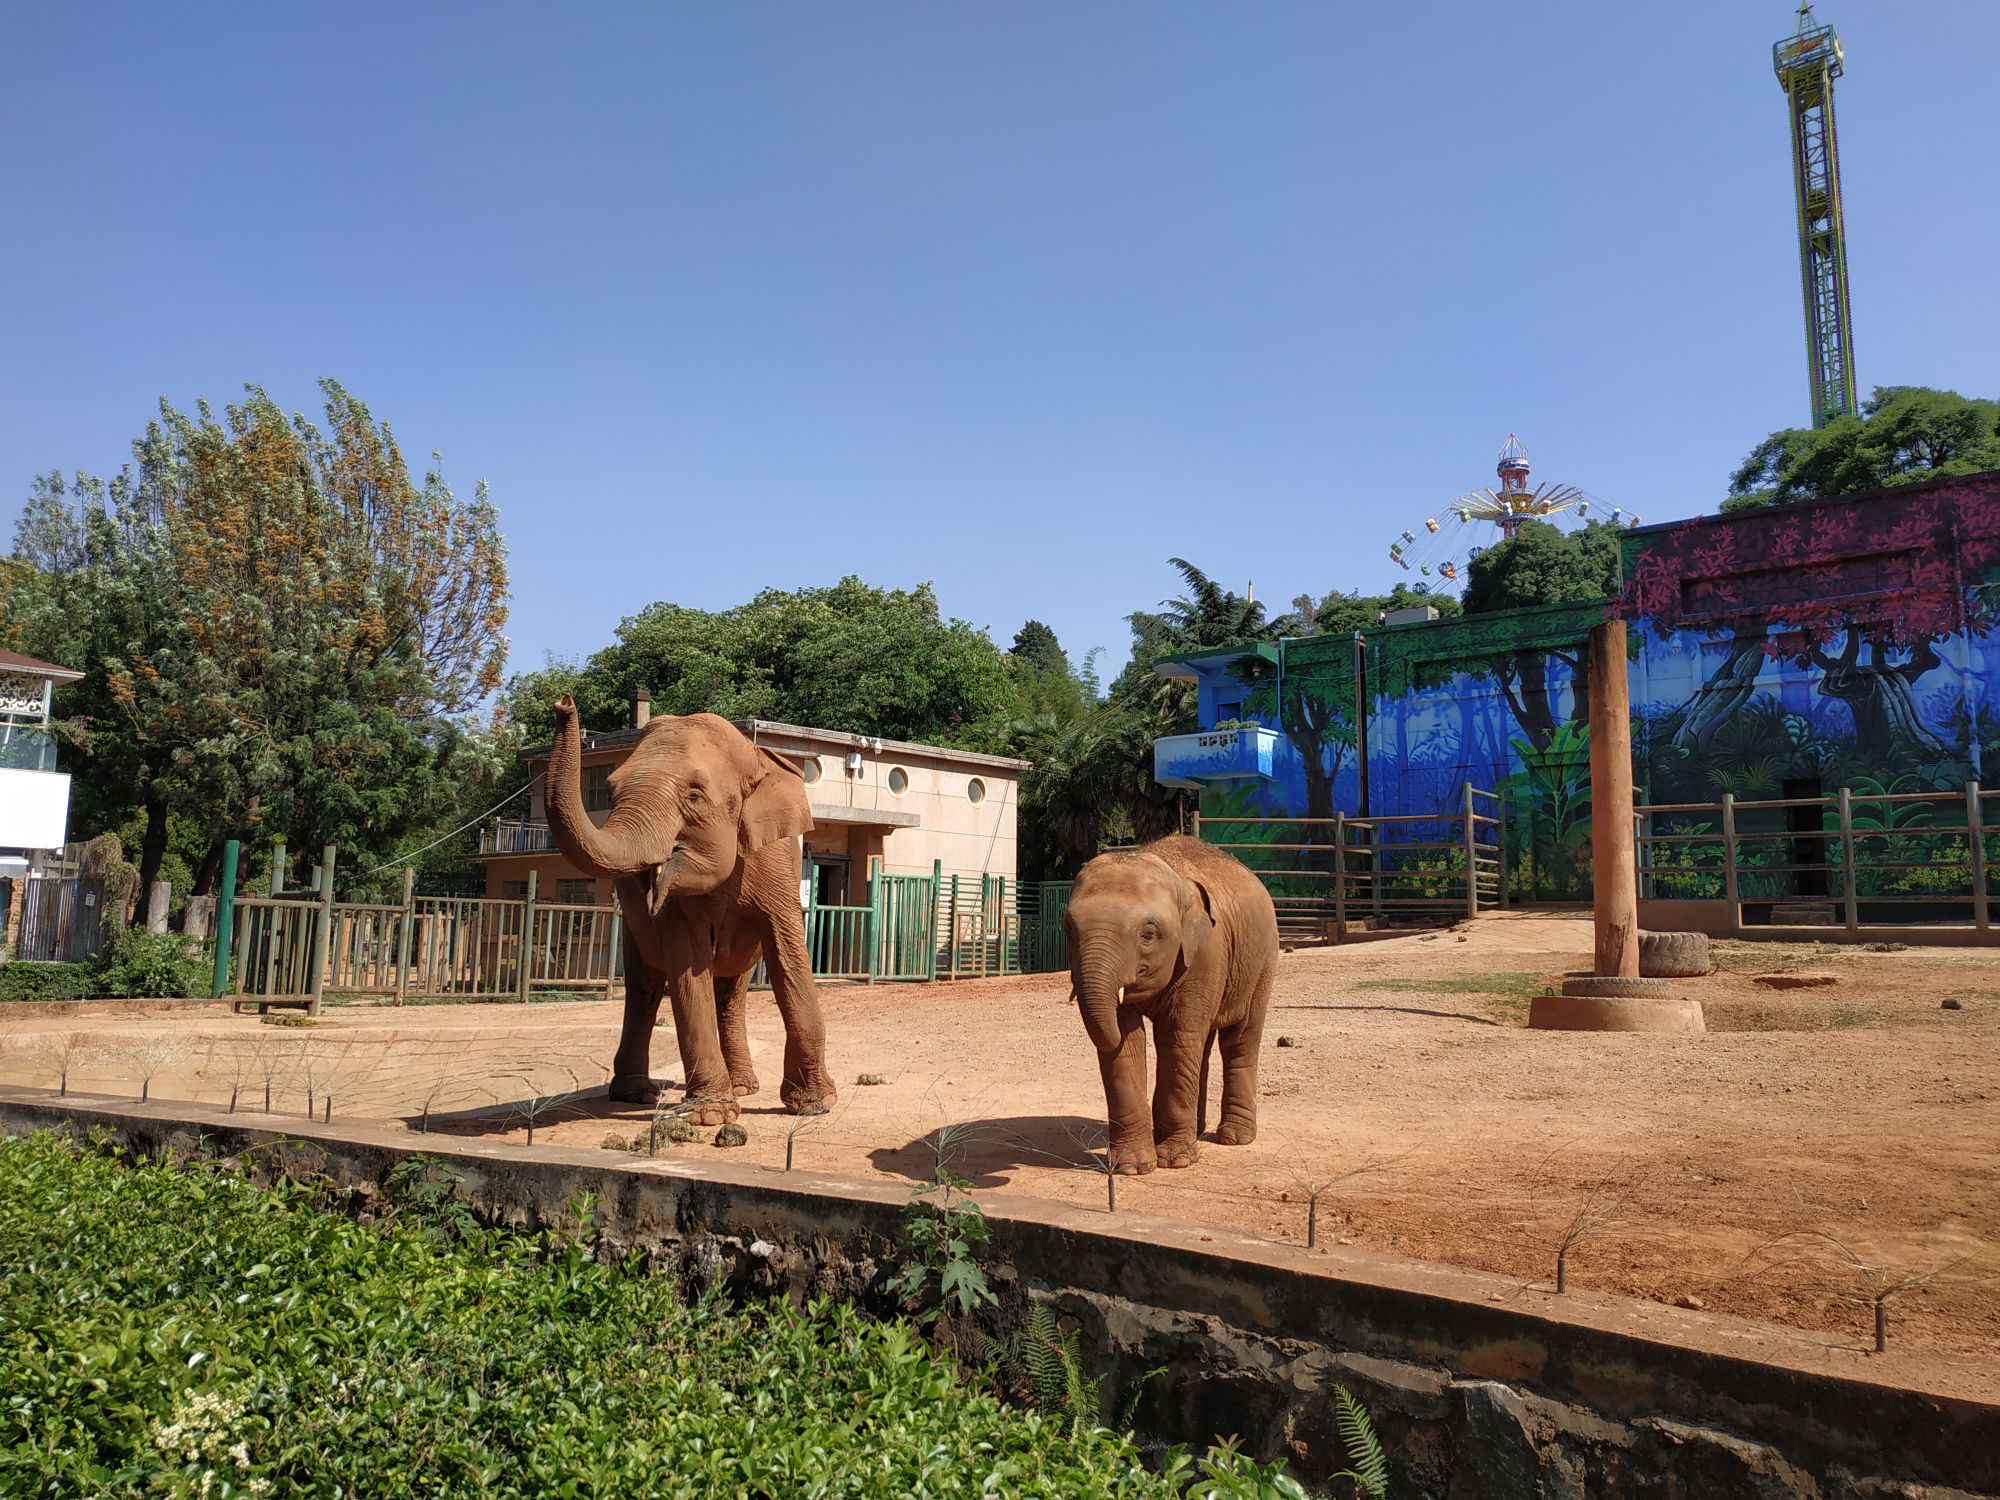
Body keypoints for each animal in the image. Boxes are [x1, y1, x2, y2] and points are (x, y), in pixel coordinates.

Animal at [544, 700, 832, 1120]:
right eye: (610, 793)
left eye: (694, 795)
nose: (564, 702)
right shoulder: (674, 910)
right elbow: (687, 964)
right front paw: (711, 1115)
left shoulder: (775, 864)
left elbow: (788, 954)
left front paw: (814, 1106)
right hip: (633, 930)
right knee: (645, 987)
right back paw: (637, 1095)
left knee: (731, 989)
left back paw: (744, 1087)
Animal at [1064, 836, 1280, 1176]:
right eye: (1067, 929)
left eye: (1148, 933)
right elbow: (1128, 1043)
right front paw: (1132, 1167)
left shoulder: (1206, 953)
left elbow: (1176, 1038)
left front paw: (1175, 1160)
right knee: (1201, 1046)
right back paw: (1198, 1130)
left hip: (1263, 960)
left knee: (1239, 1038)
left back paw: (1235, 1137)